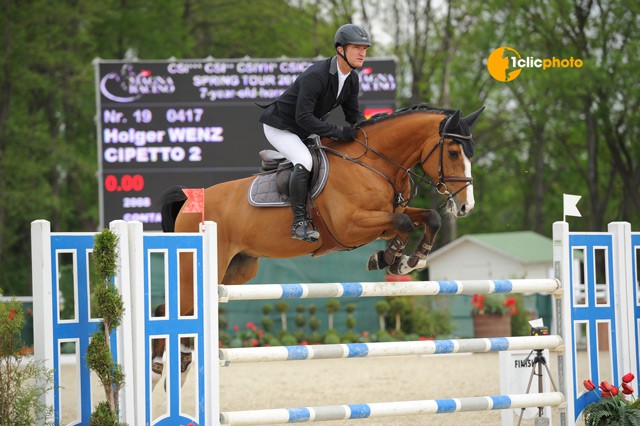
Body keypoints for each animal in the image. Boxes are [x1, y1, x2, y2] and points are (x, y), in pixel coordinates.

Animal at [155, 105, 484, 382]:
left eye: (470, 153)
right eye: (453, 152)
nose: (466, 207)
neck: (374, 162)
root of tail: (189, 201)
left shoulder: (387, 217)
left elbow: (428, 218)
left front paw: (407, 260)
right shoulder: (351, 226)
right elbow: (403, 223)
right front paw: (392, 258)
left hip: (236, 271)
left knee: (174, 308)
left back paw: (171, 366)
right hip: (198, 267)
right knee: (169, 310)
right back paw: (166, 366)